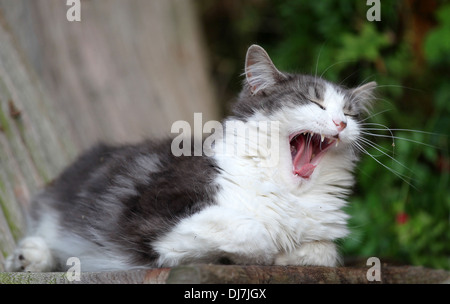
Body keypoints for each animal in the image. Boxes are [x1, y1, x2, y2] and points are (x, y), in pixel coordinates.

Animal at [4, 44, 376, 270]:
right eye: (313, 102)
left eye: (350, 113)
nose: (341, 124)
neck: (288, 195)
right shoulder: (150, 214)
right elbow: (254, 230)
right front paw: (268, 249)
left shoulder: (322, 238)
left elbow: (324, 250)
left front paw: (291, 253)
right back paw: (26, 257)